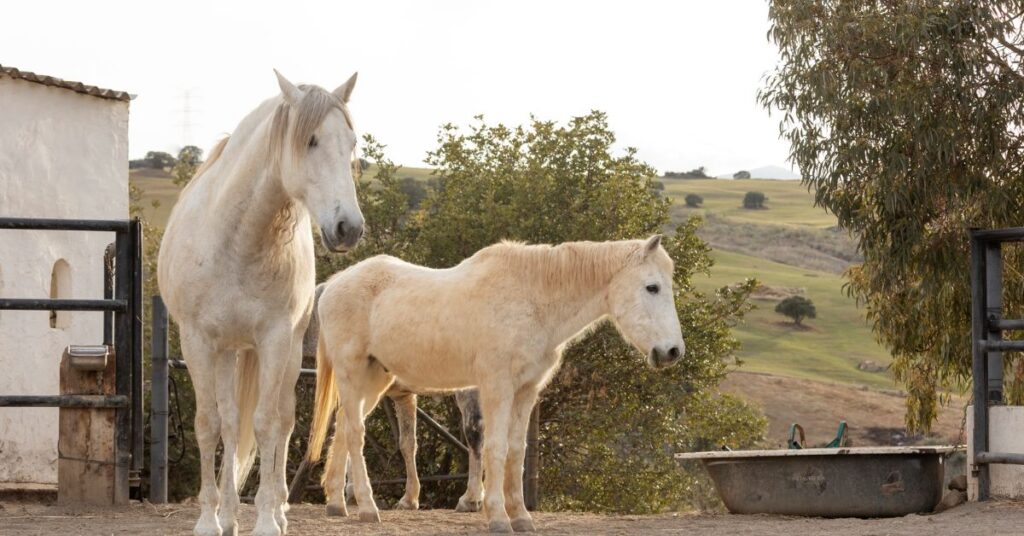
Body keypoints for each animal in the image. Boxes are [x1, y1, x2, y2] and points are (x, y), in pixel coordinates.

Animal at [158, 70, 364, 536]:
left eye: (351, 142)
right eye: (310, 140)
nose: (349, 227)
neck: (238, 240)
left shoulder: (274, 339)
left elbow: (268, 424)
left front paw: (268, 519)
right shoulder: (198, 342)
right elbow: (210, 424)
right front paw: (210, 519)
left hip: (287, 351)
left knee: (284, 422)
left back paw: (280, 509)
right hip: (229, 352)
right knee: (232, 424)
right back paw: (230, 514)